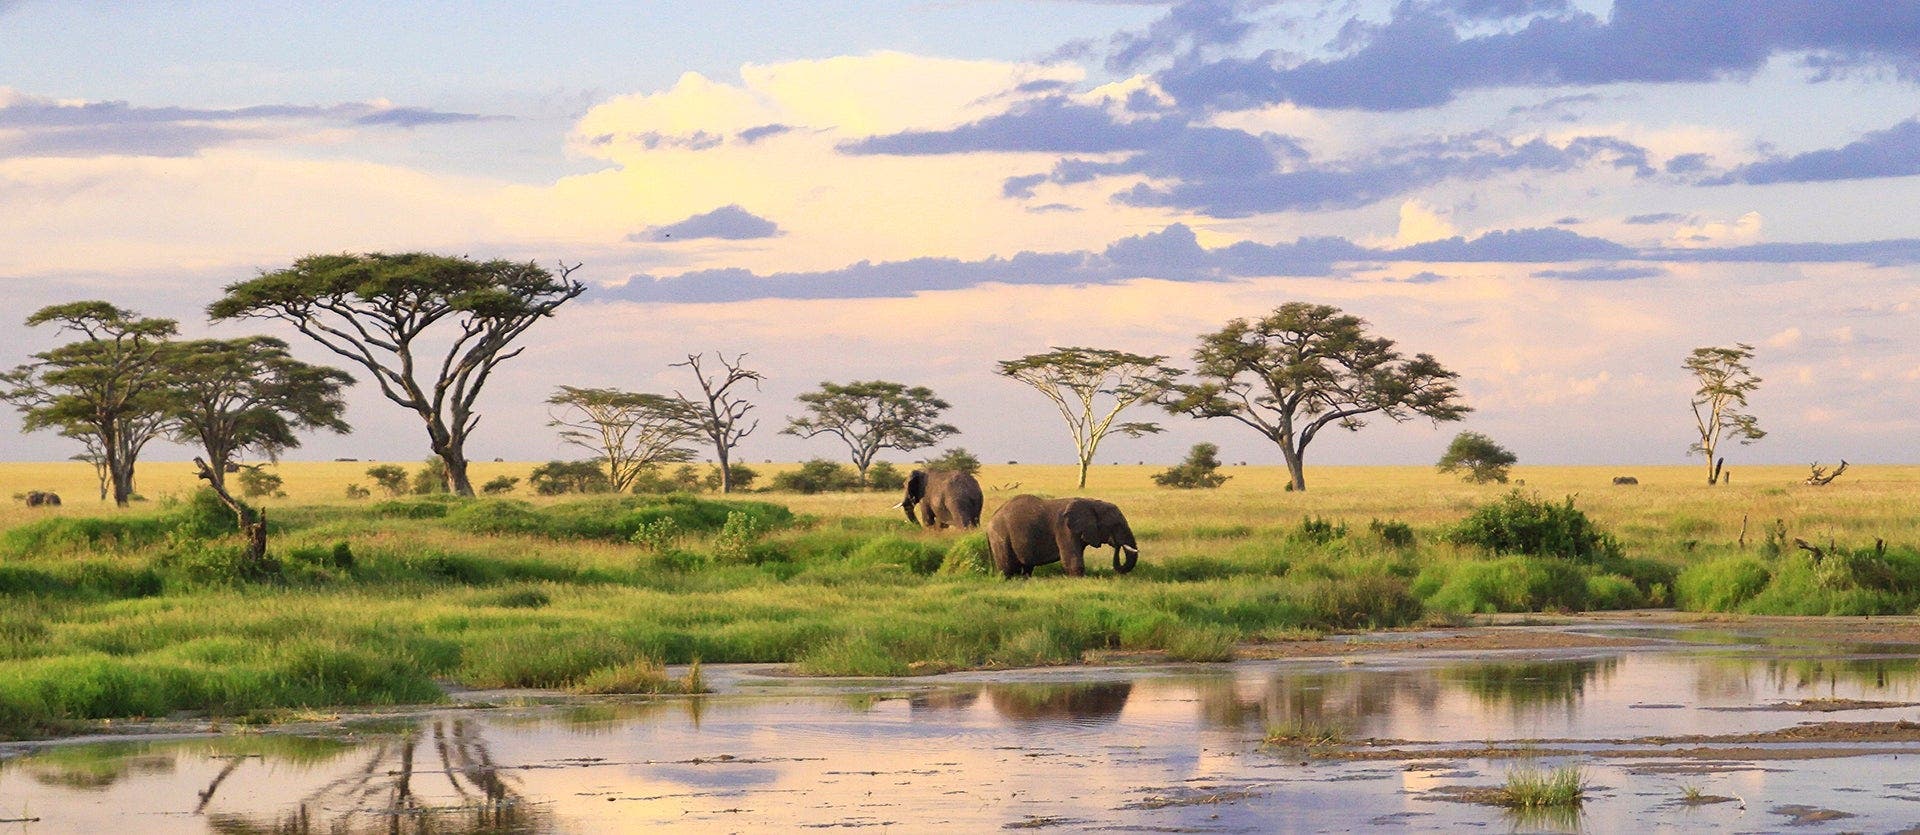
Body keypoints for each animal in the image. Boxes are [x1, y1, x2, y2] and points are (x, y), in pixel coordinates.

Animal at [990, 495, 1136, 579]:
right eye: (1116, 524)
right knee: (1008, 567)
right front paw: (1078, 580)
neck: (1091, 503)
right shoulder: (1064, 529)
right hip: (1000, 535)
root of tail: (992, 518)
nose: (1116, 544)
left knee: (1026, 567)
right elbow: (1072, 559)